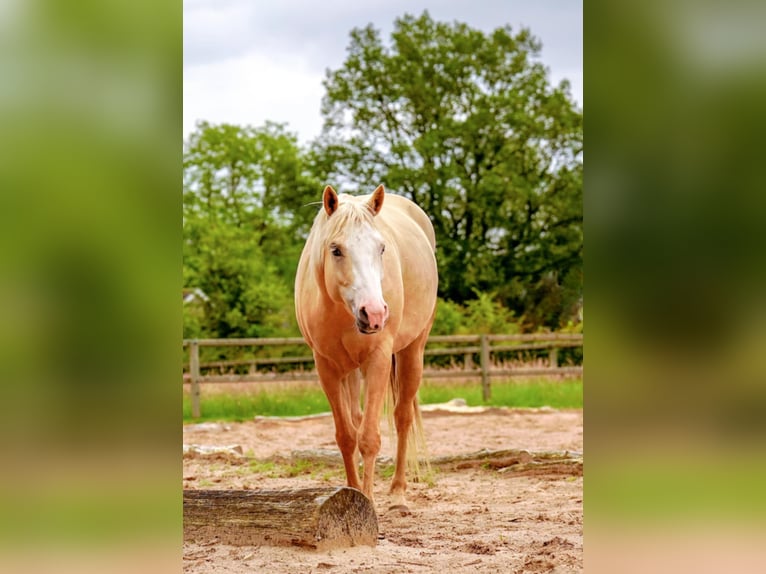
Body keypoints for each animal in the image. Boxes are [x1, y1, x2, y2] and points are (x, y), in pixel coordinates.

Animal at [295, 184, 438, 511]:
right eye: (336, 249)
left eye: (381, 248)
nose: (373, 314)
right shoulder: (327, 367)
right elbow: (346, 436)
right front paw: (353, 493)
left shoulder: (378, 360)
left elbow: (369, 437)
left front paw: (369, 502)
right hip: (350, 371)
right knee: (358, 419)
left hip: (412, 353)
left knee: (402, 417)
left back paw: (398, 493)